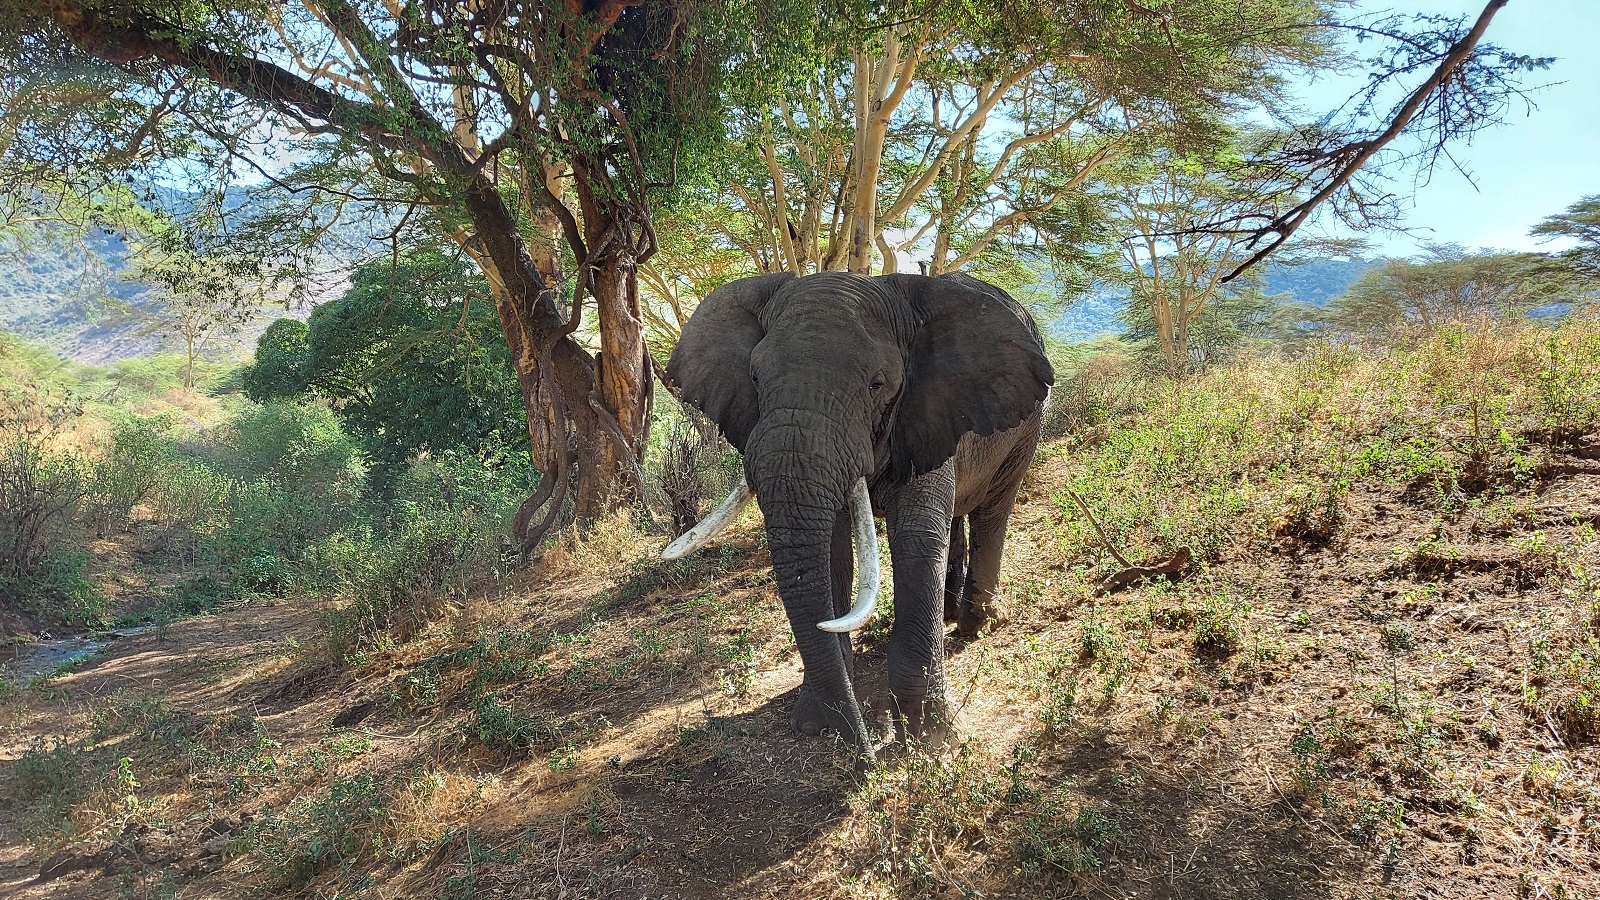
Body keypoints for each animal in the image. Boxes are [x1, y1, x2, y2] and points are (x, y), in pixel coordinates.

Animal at [659, 267, 1049, 743]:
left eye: (876, 384)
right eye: (754, 378)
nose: (864, 746)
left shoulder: (924, 412)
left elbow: (918, 541)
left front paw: (930, 737)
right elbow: (831, 551)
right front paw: (816, 722)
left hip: (1025, 428)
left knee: (993, 508)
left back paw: (977, 625)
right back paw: (953, 613)